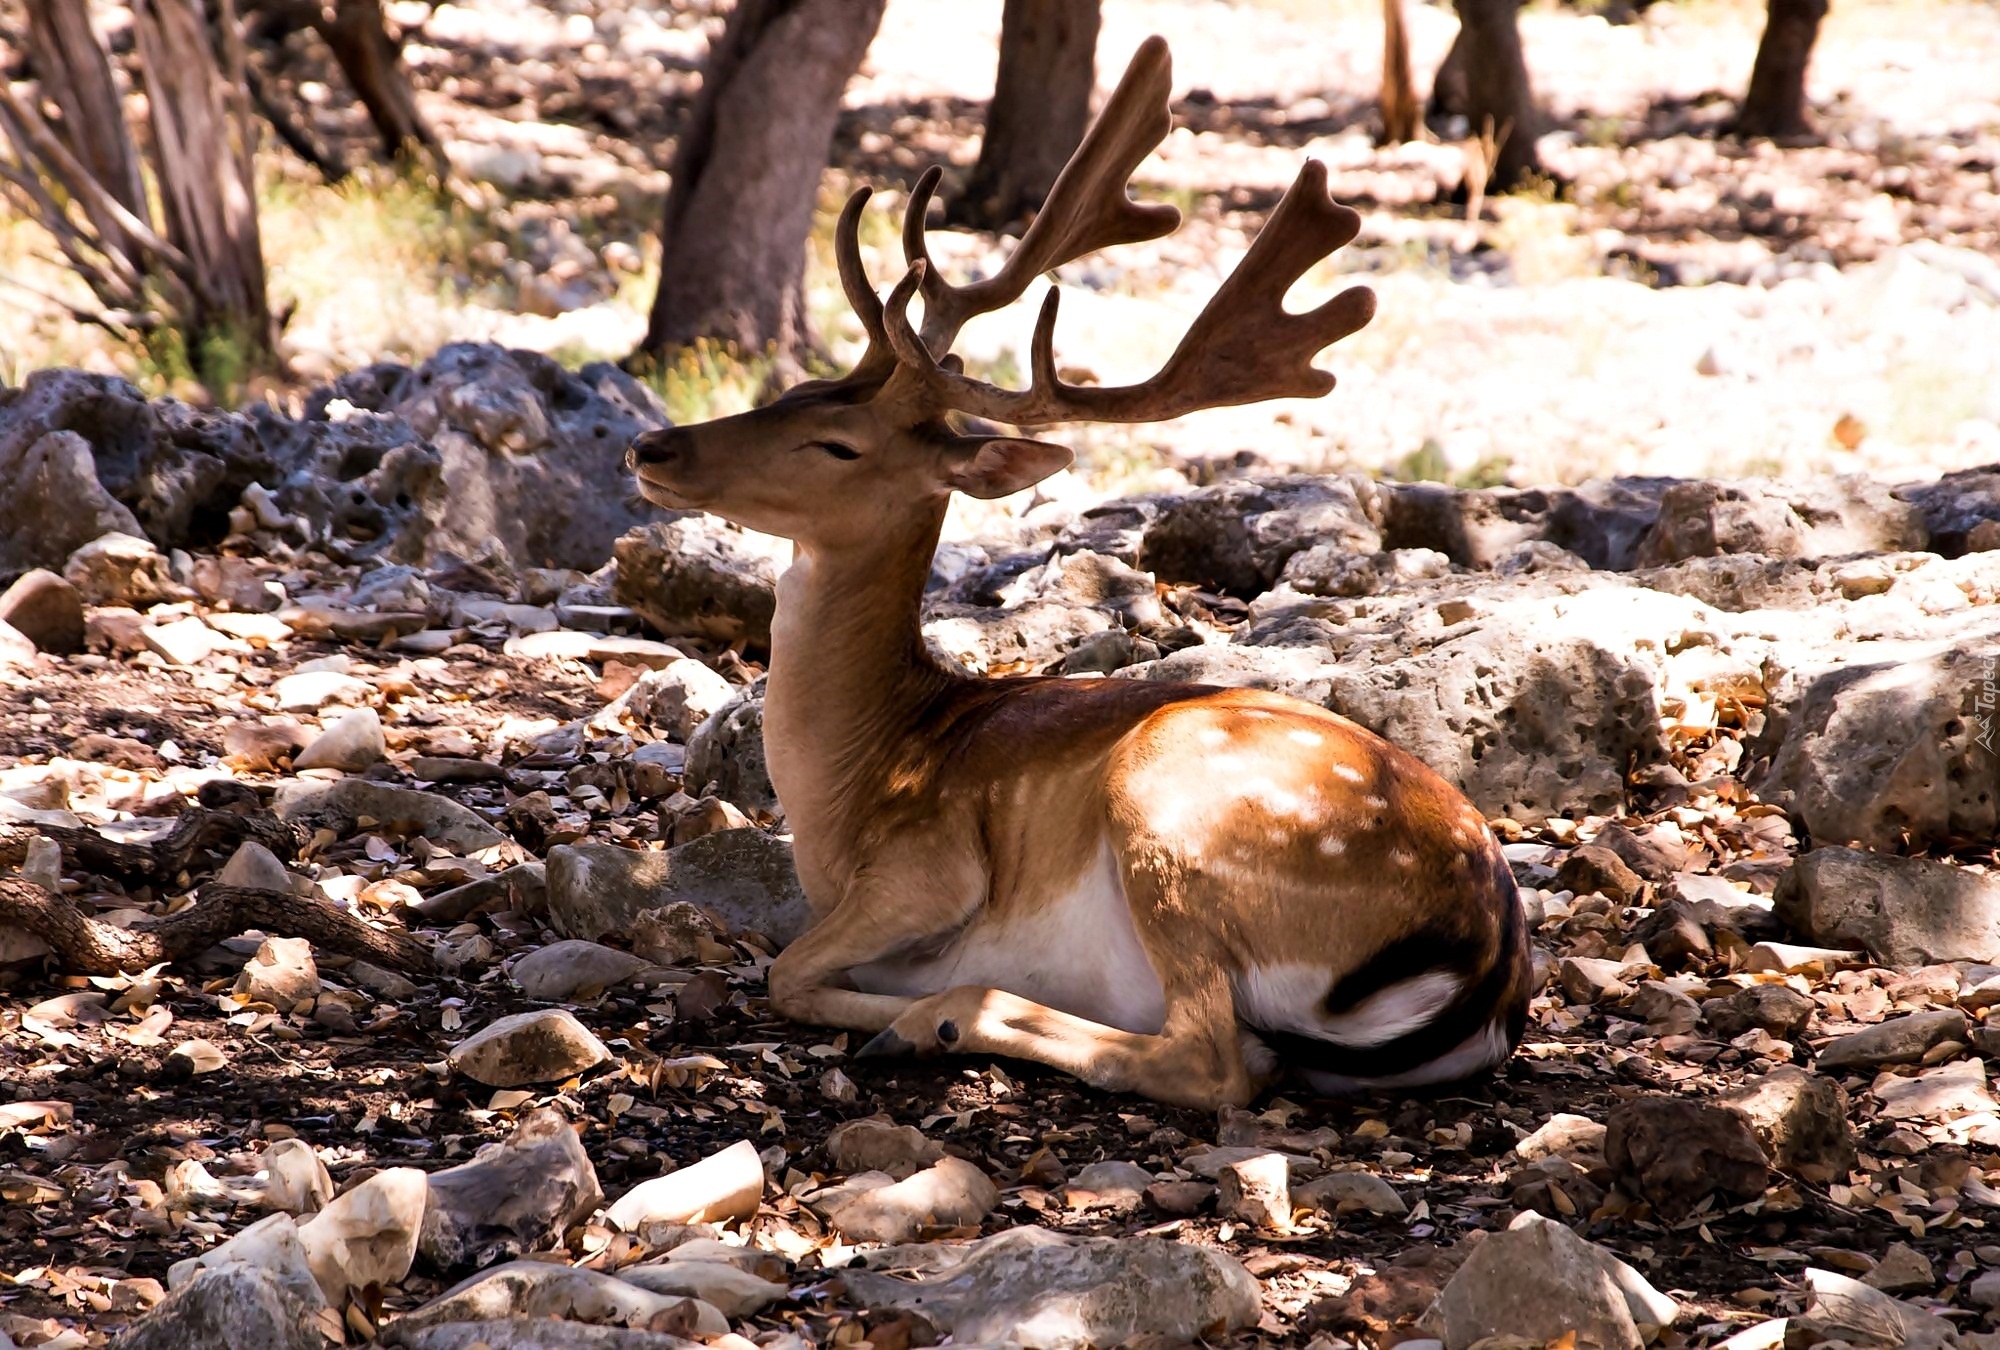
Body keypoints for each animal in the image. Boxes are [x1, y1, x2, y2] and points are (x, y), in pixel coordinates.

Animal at [627, 36, 1532, 1109]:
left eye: (838, 445)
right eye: (798, 388)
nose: (653, 445)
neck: (855, 787)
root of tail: (1487, 961)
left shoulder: (930, 867)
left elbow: (787, 969)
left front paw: (898, 999)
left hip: (1172, 812)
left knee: (1219, 1057)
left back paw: (936, 1019)